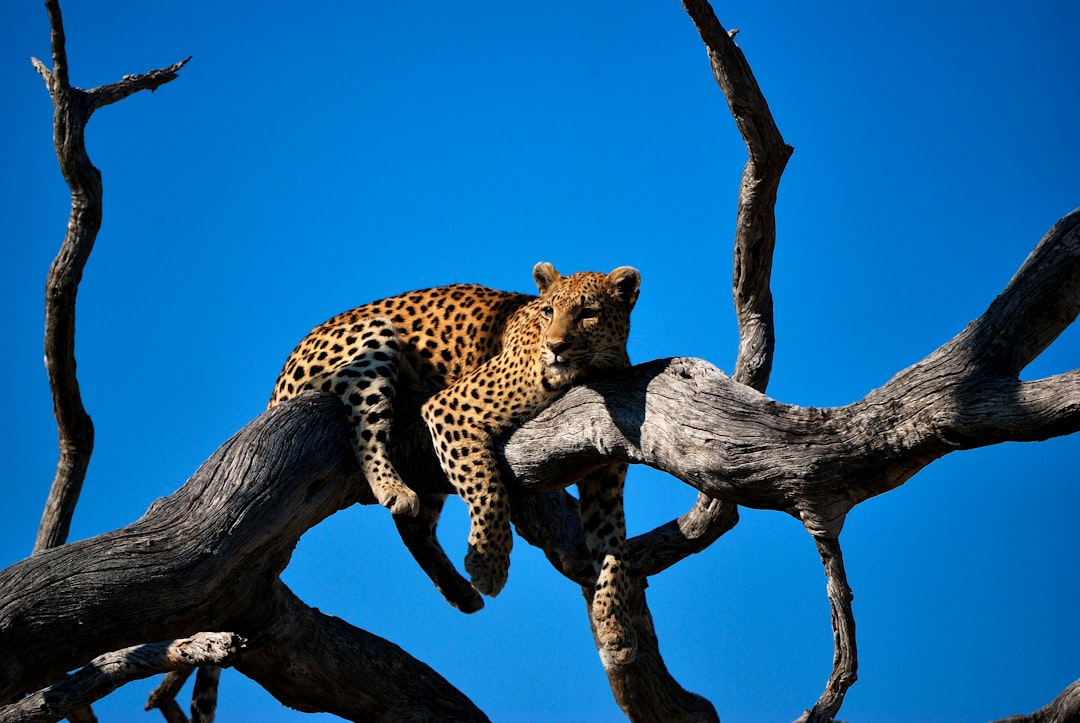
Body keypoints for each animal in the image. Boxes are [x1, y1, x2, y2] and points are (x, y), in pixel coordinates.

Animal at [270, 262, 639, 661]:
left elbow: (613, 545)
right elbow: (488, 488)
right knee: (364, 428)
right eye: (548, 311)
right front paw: (489, 565)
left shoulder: (604, 478)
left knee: (414, 526)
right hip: (373, 338)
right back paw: (393, 488)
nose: (555, 347)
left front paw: (616, 626)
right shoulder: (451, 409)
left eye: (588, 313)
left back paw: (459, 591)